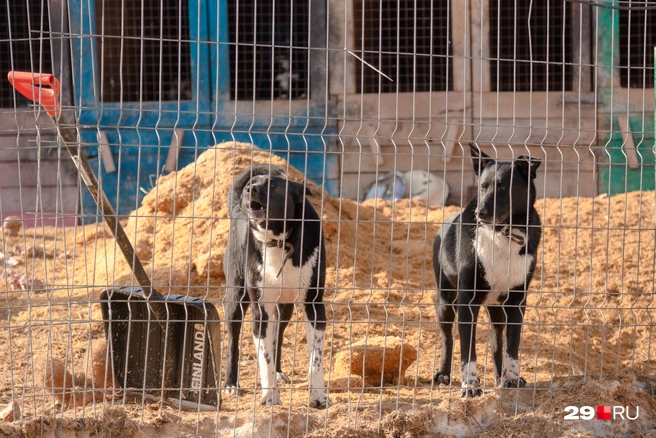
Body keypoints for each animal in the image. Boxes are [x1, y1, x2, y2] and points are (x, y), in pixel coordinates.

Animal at [223, 163, 330, 408]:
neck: (280, 241)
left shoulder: (314, 306)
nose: (249, 190)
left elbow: (316, 360)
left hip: (285, 306)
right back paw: (230, 383)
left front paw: (318, 397)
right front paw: (270, 396)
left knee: (278, 334)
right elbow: (265, 359)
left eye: (272, 184)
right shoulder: (260, 311)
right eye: (253, 184)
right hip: (236, 297)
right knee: (234, 338)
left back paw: (281, 372)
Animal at [434, 145, 540, 398]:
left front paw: (512, 378)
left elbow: (511, 346)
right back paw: (443, 374)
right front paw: (470, 385)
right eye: (483, 187)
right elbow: (468, 351)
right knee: (446, 337)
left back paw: (501, 375)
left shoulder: (516, 301)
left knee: (496, 340)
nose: (480, 213)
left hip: (496, 308)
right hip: (445, 300)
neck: (503, 232)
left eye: (503, 187)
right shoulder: (467, 303)